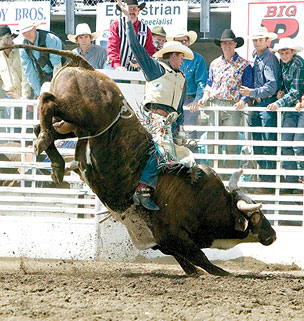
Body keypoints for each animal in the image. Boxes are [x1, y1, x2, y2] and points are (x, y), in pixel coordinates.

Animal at [0, 44, 276, 276]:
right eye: (257, 217)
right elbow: (201, 258)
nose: (273, 235)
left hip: (75, 126)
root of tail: (85, 65)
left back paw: (55, 162)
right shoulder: (175, 234)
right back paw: (46, 146)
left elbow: (188, 262)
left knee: (43, 126)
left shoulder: (164, 241)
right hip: (80, 114)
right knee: (47, 103)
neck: (207, 201)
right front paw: (224, 274)